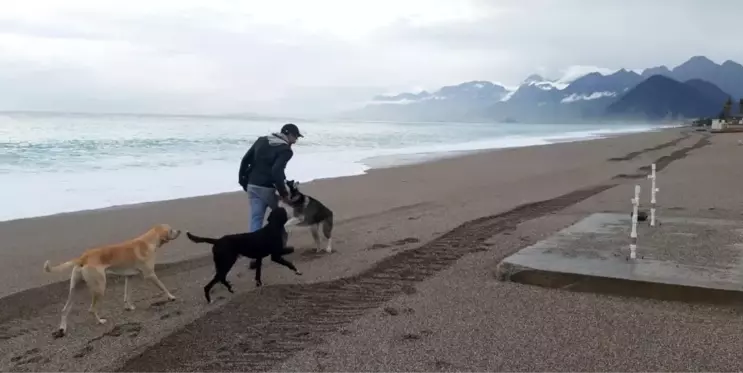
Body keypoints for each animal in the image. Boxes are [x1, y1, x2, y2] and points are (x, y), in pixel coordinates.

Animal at [44, 224, 182, 338]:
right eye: (171, 230)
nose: (179, 231)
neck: (149, 241)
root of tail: (83, 257)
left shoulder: (129, 277)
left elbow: (127, 295)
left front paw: (129, 307)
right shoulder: (150, 275)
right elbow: (163, 286)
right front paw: (171, 296)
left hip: (75, 289)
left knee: (64, 310)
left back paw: (62, 329)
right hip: (100, 287)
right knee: (91, 309)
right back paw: (100, 321)